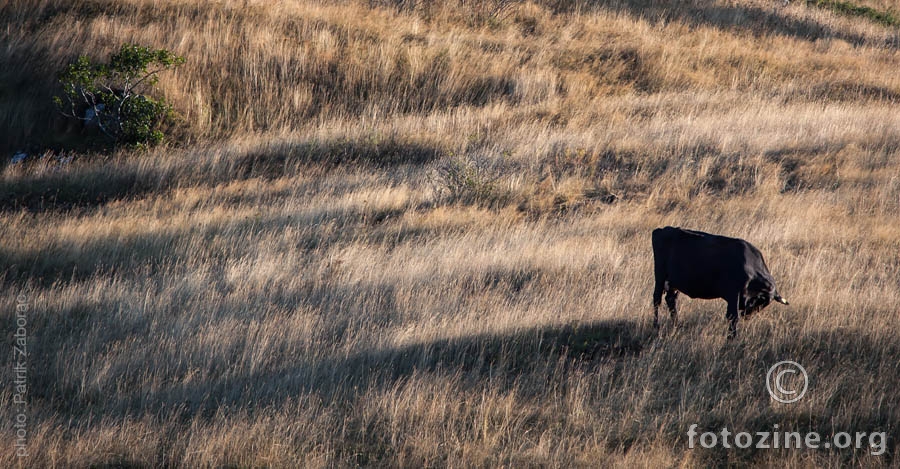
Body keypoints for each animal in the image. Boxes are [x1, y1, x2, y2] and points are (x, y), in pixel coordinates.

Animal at [652, 226, 788, 336]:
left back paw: (677, 324)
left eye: (765, 303)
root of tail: (662, 230)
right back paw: (656, 326)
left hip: (674, 283)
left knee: (671, 300)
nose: (746, 315)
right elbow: (733, 317)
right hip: (660, 278)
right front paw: (731, 338)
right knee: (657, 300)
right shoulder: (734, 294)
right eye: (760, 300)